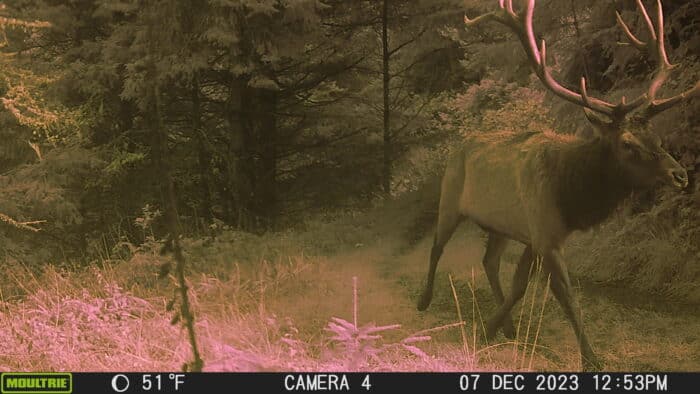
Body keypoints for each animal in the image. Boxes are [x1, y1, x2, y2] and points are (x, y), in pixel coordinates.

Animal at [418, 0, 696, 370]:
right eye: (627, 143)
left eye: (657, 137)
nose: (681, 175)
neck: (571, 198)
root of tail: (459, 146)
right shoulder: (546, 235)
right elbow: (566, 296)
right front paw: (591, 358)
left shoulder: (538, 234)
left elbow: (520, 285)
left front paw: (492, 327)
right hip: (449, 197)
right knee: (437, 246)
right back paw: (424, 299)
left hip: (502, 226)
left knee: (489, 261)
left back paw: (507, 325)